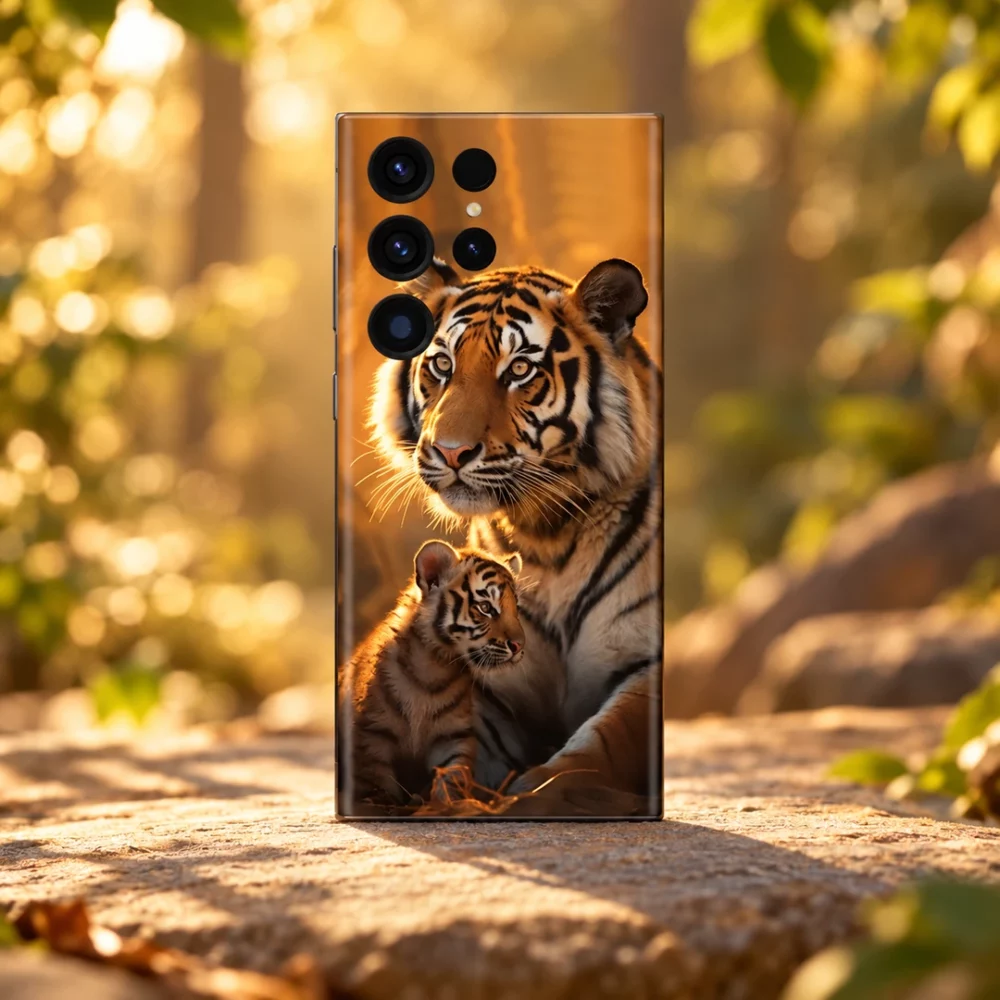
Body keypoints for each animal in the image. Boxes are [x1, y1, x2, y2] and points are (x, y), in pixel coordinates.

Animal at [337, 539, 525, 813]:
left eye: (516, 609)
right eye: (486, 608)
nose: (520, 646)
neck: (434, 666)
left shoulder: (453, 736)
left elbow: (453, 776)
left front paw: (449, 806)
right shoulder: (371, 734)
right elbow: (375, 783)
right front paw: (380, 805)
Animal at [368, 256, 663, 810]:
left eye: (520, 370)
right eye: (443, 366)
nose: (451, 452)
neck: (545, 534)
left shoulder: (643, 664)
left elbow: (602, 744)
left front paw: (536, 792)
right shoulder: (487, 689)